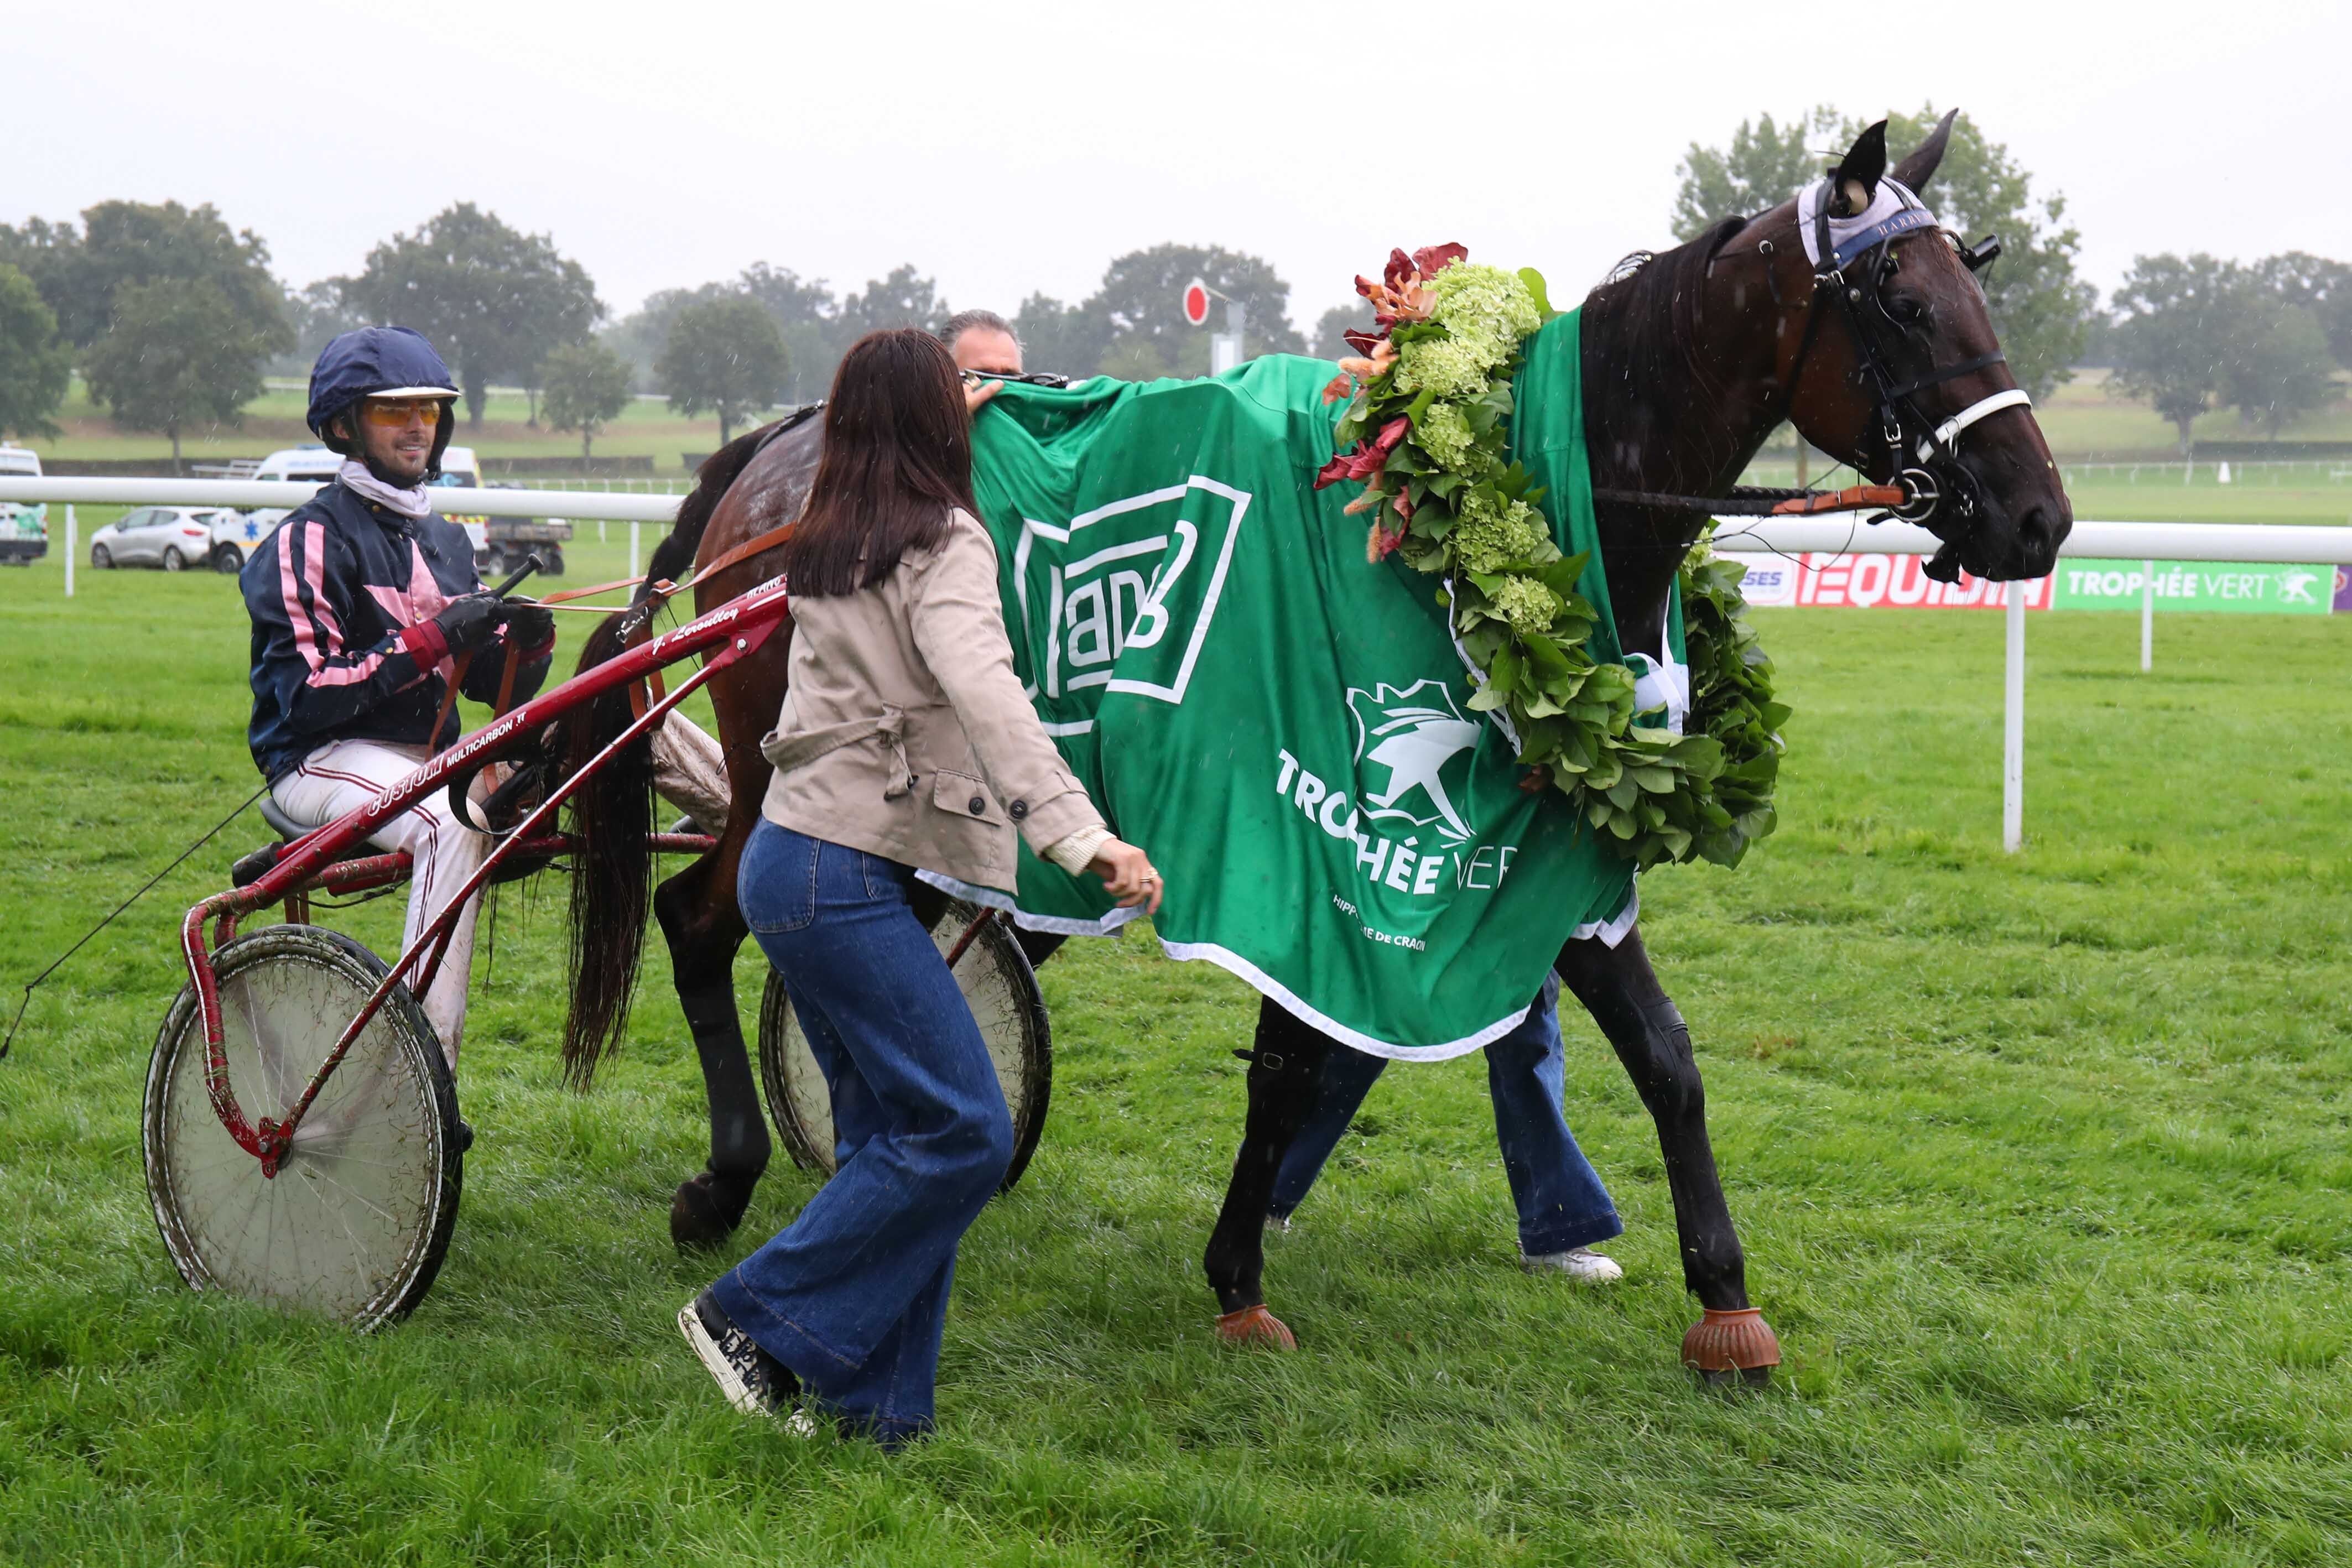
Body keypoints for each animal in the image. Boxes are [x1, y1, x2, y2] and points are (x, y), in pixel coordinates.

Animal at [559, 116, 2069, 1382]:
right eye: (1905, 303)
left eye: (1979, 285)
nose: (2037, 517)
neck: (1516, 492)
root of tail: (784, 439)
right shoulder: (1302, 833)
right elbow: (1291, 1062)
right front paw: (1237, 1277)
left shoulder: (1555, 842)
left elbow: (1667, 1058)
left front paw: (1723, 1296)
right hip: (791, 764)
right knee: (703, 917)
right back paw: (726, 1177)